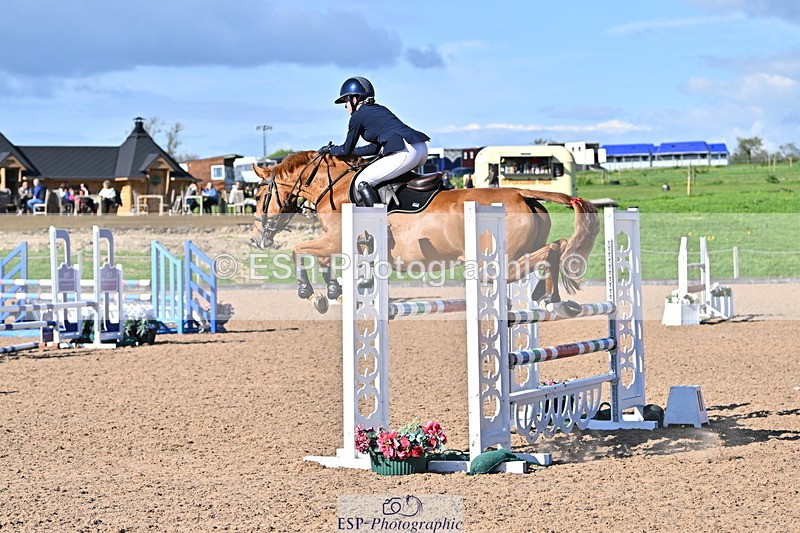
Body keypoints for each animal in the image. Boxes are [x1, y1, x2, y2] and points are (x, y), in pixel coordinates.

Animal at [249, 151, 599, 314]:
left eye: (258, 195)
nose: (255, 238)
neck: (334, 188)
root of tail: (521, 192)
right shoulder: (336, 245)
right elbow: (318, 258)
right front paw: (332, 291)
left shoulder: (335, 240)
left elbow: (298, 250)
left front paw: (310, 292)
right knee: (556, 246)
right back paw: (550, 296)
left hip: (491, 264)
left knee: (548, 251)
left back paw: (549, 296)